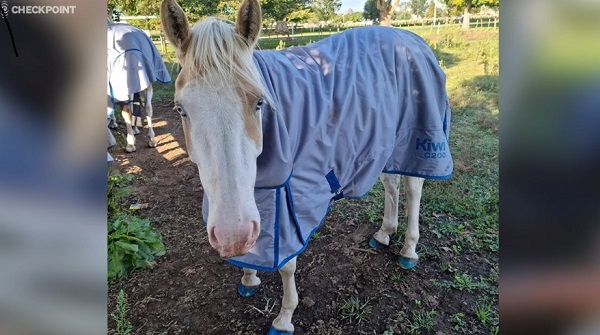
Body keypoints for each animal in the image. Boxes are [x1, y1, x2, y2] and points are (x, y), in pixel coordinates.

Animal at [162, 1, 452, 334]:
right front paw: (249, 277)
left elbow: (287, 263)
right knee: (391, 184)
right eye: (180, 109)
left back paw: (408, 250)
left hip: (418, 136)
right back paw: (383, 234)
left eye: (259, 102)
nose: (231, 236)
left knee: (414, 188)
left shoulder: (292, 198)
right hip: (385, 142)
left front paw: (284, 317)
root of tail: (414, 40)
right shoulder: (259, 196)